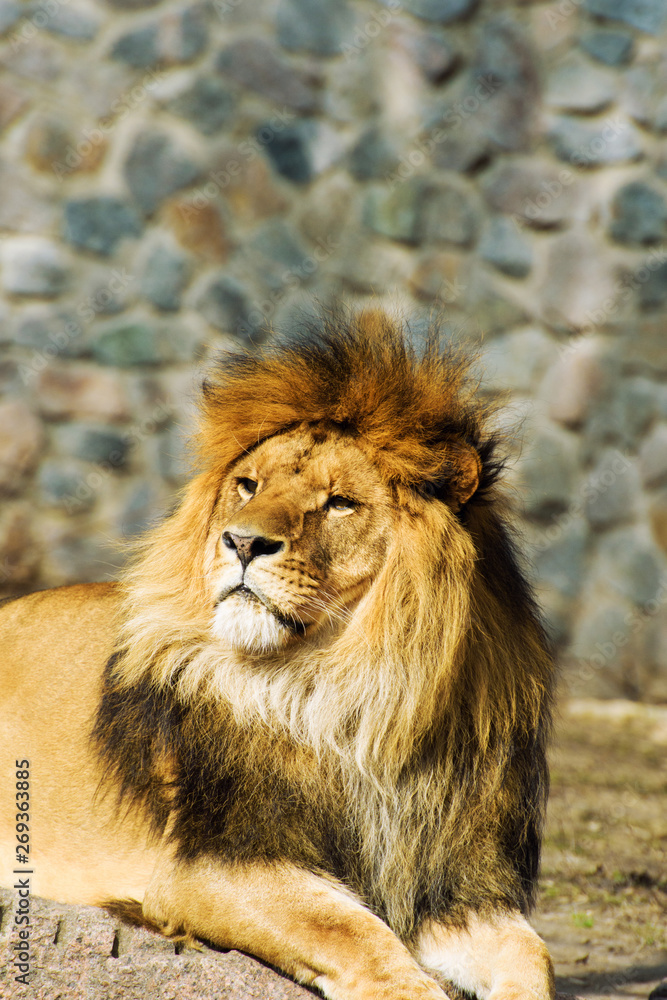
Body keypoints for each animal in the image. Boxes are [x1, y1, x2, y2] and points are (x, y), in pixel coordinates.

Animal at [0, 309, 555, 1000]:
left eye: (340, 502)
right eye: (247, 486)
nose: (240, 542)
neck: (358, 697)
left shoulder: (451, 884)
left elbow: (532, 954)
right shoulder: (210, 865)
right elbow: (354, 931)